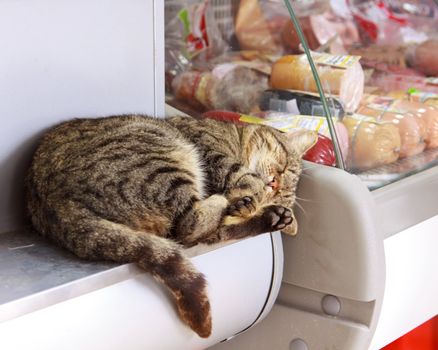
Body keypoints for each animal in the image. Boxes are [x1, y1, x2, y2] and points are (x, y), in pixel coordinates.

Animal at [24, 115, 314, 340]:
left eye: (282, 191)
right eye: (285, 166)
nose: (274, 186)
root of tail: (55, 200)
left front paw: (263, 208)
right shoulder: (209, 147)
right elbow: (240, 173)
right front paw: (250, 192)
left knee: (194, 230)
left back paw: (267, 217)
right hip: (162, 158)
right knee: (191, 225)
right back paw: (229, 202)